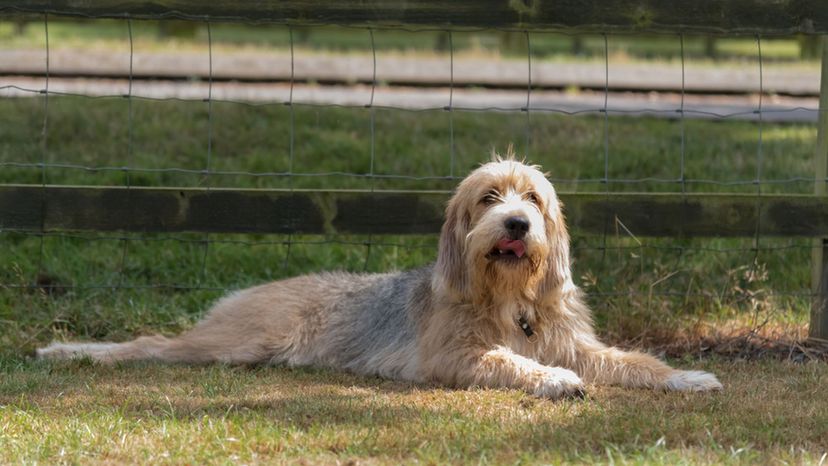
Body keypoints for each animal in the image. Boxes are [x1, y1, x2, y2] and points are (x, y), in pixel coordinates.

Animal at [42, 158, 720, 398]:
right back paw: (69, 352)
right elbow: (513, 362)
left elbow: (631, 360)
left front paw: (685, 376)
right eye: (489, 197)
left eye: (533, 198)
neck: (510, 300)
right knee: (151, 344)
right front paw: (553, 380)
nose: (517, 223)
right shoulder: (457, 356)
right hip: (233, 342)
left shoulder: (578, 344)